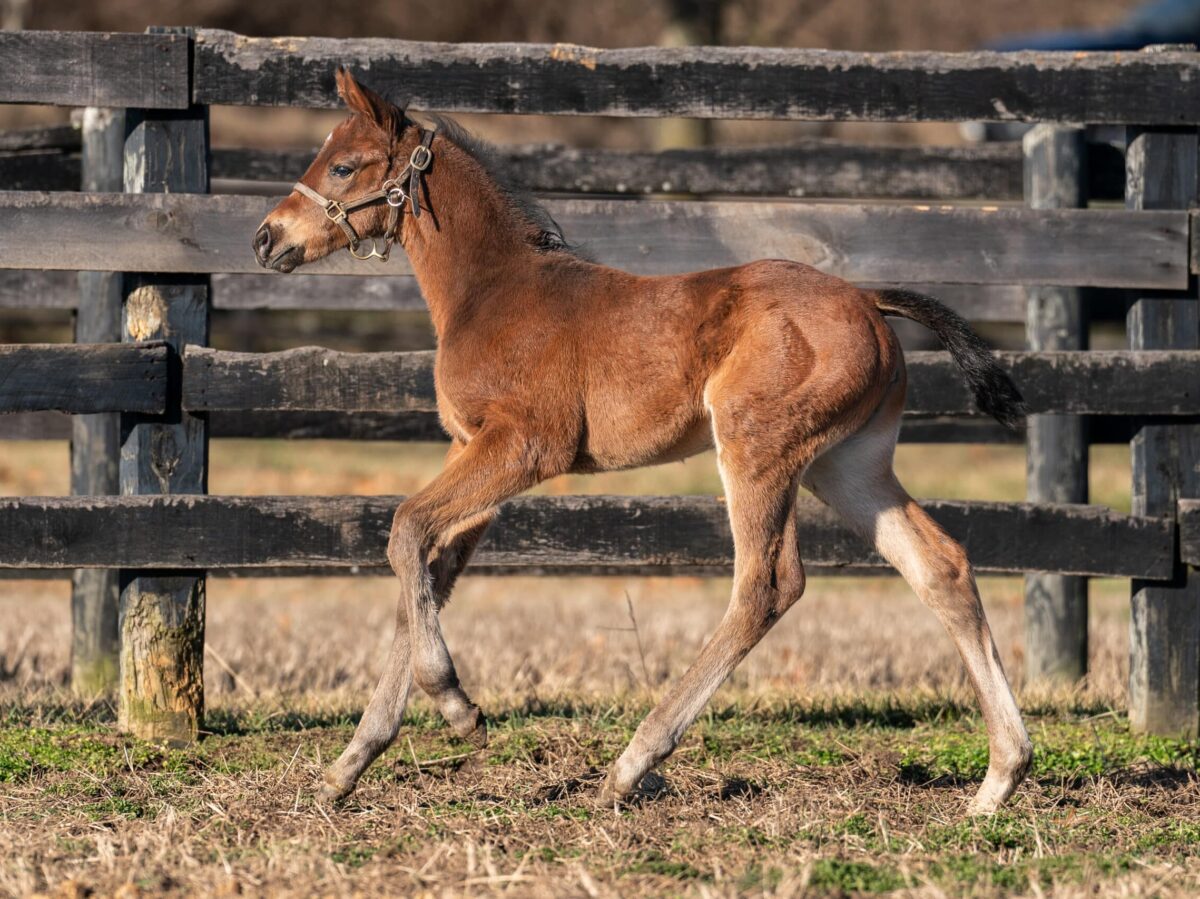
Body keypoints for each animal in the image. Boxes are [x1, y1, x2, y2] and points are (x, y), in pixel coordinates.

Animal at [253, 70, 1032, 811]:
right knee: (942, 567)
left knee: (767, 584)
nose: (266, 238)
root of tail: (869, 302)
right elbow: (425, 574)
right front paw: (348, 766)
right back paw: (999, 780)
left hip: (756, 446)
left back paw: (632, 766)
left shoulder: (527, 445)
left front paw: (456, 705)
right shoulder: (470, 447)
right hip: (849, 465)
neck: (492, 290)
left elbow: (406, 528)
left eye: (344, 165)